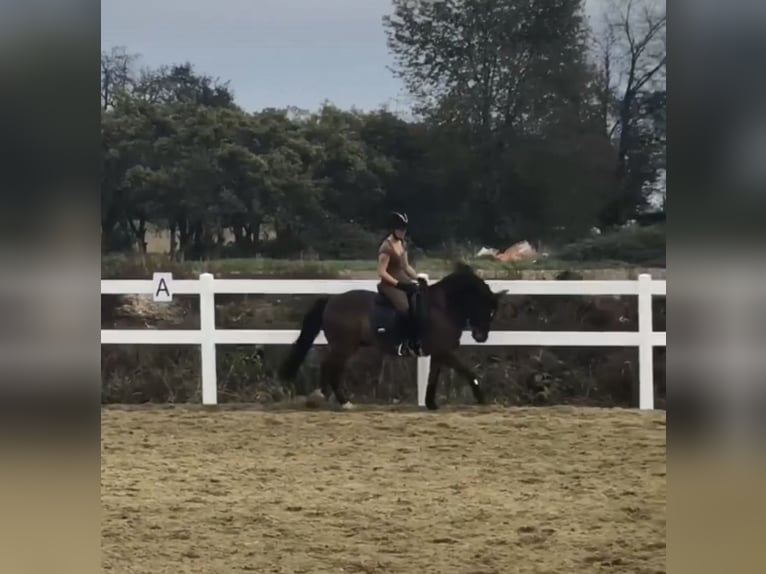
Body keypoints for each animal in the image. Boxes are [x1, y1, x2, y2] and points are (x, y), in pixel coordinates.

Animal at [280, 264, 508, 412]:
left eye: (493, 312)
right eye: (484, 308)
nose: (481, 337)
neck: (443, 307)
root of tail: (332, 300)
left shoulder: (437, 352)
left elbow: (433, 377)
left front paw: (431, 403)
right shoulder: (445, 351)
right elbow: (467, 371)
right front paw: (481, 398)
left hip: (345, 346)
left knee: (329, 366)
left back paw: (325, 397)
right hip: (344, 346)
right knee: (331, 367)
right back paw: (338, 401)